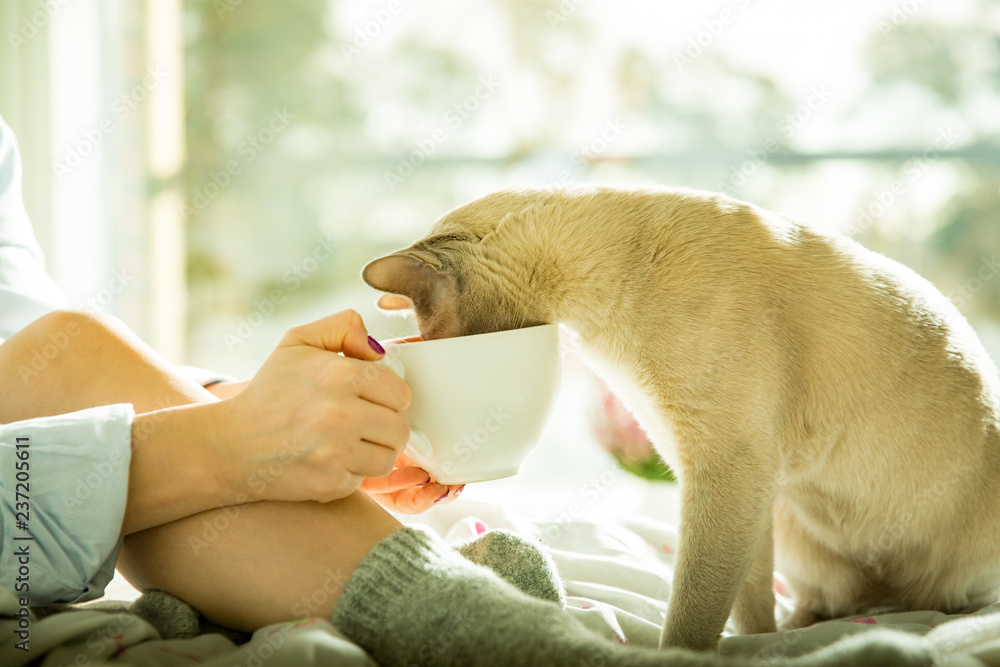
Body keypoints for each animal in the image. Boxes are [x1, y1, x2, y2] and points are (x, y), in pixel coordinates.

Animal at [360, 184, 1000, 652]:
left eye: (430, 336)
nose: (421, 349)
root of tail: (896, 601)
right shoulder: (728, 481)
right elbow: (746, 605)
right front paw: (754, 647)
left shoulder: (729, 472)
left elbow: (693, 612)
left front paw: (687, 653)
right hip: (791, 518)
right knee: (826, 601)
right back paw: (806, 628)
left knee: (953, 606)